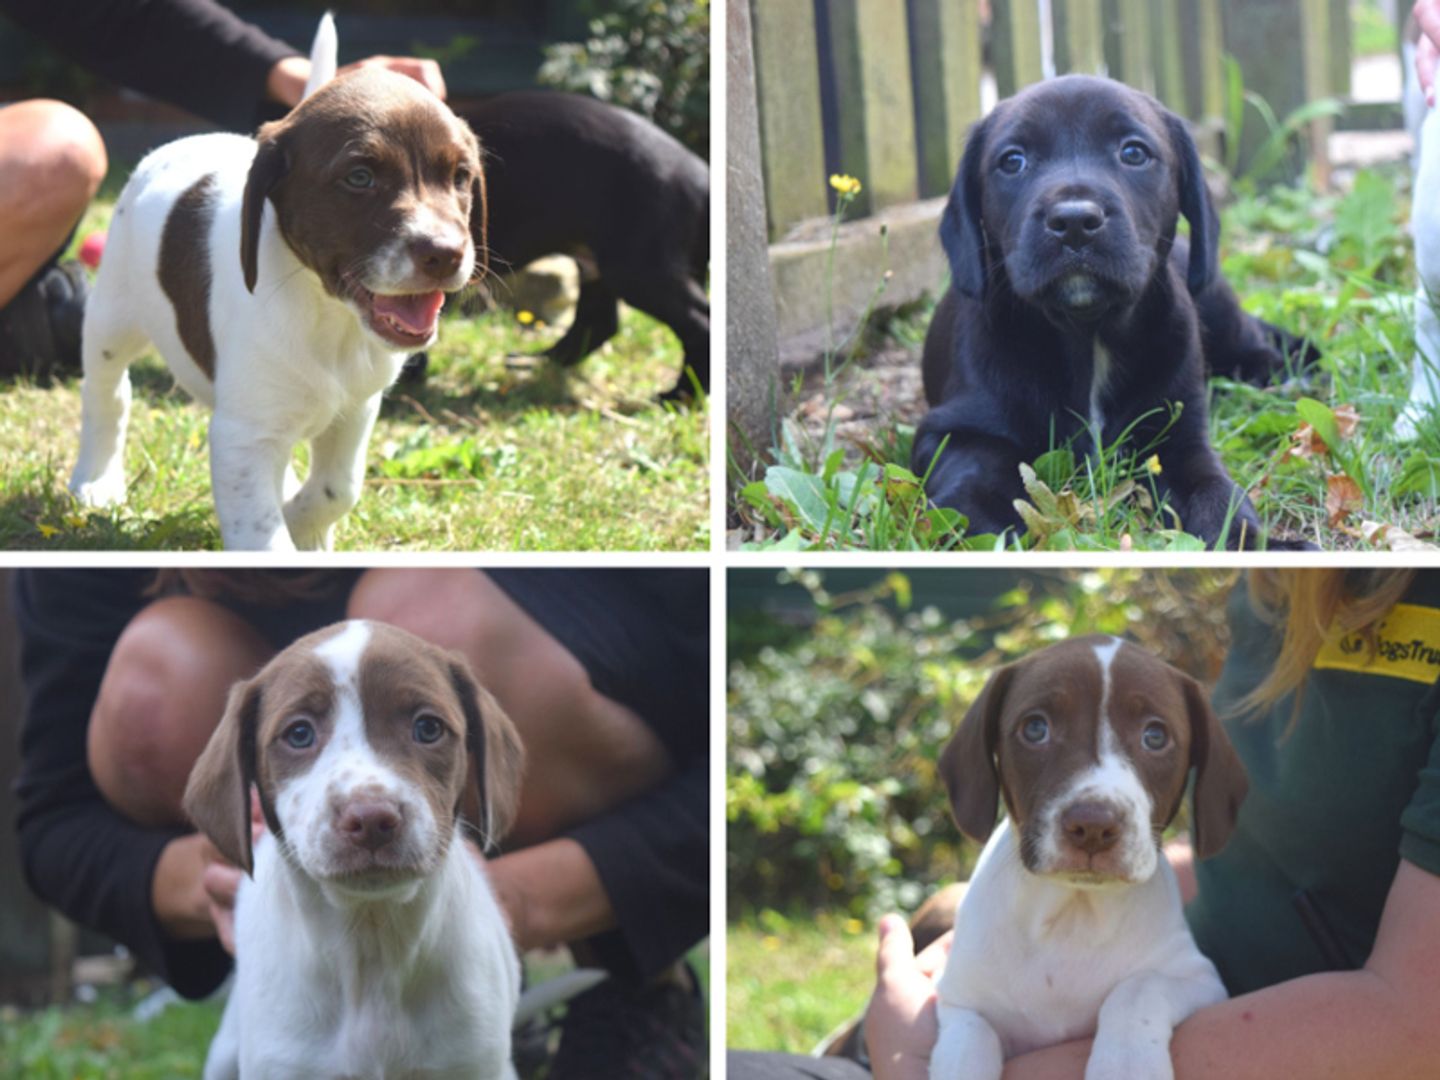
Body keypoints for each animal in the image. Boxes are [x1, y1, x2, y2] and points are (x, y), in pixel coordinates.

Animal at [70, 15, 486, 552]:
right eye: (359, 177)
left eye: (459, 176)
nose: (445, 254)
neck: (329, 316)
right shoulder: (243, 434)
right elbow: (262, 534)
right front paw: (287, 528)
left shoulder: (356, 409)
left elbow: (337, 490)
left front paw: (302, 525)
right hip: (113, 316)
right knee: (107, 393)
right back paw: (95, 481)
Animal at [460, 91, 708, 400]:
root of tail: (702, 178)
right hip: (600, 264)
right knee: (598, 322)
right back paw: (537, 361)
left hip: (638, 267)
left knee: (700, 322)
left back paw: (680, 395)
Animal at [915, 76, 1313, 550]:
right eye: (1012, 161)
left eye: (1133, 153)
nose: (1073, 221)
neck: (1089, 333)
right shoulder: (953, 429)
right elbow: (974, 474)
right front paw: (988, 525)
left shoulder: (1178, 442)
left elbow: (1217, 492)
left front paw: (1256, 543)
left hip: (1216, 302)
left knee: (1252, 340)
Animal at [933, 639, 1249, 1080]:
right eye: (1035, 729)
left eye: (1155, 736)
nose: (1094, 826)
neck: (1074, 915)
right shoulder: (961, 1004)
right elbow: (968, 1048)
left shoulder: (1201, 979)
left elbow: (1137, 988)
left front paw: (1126, 1065)